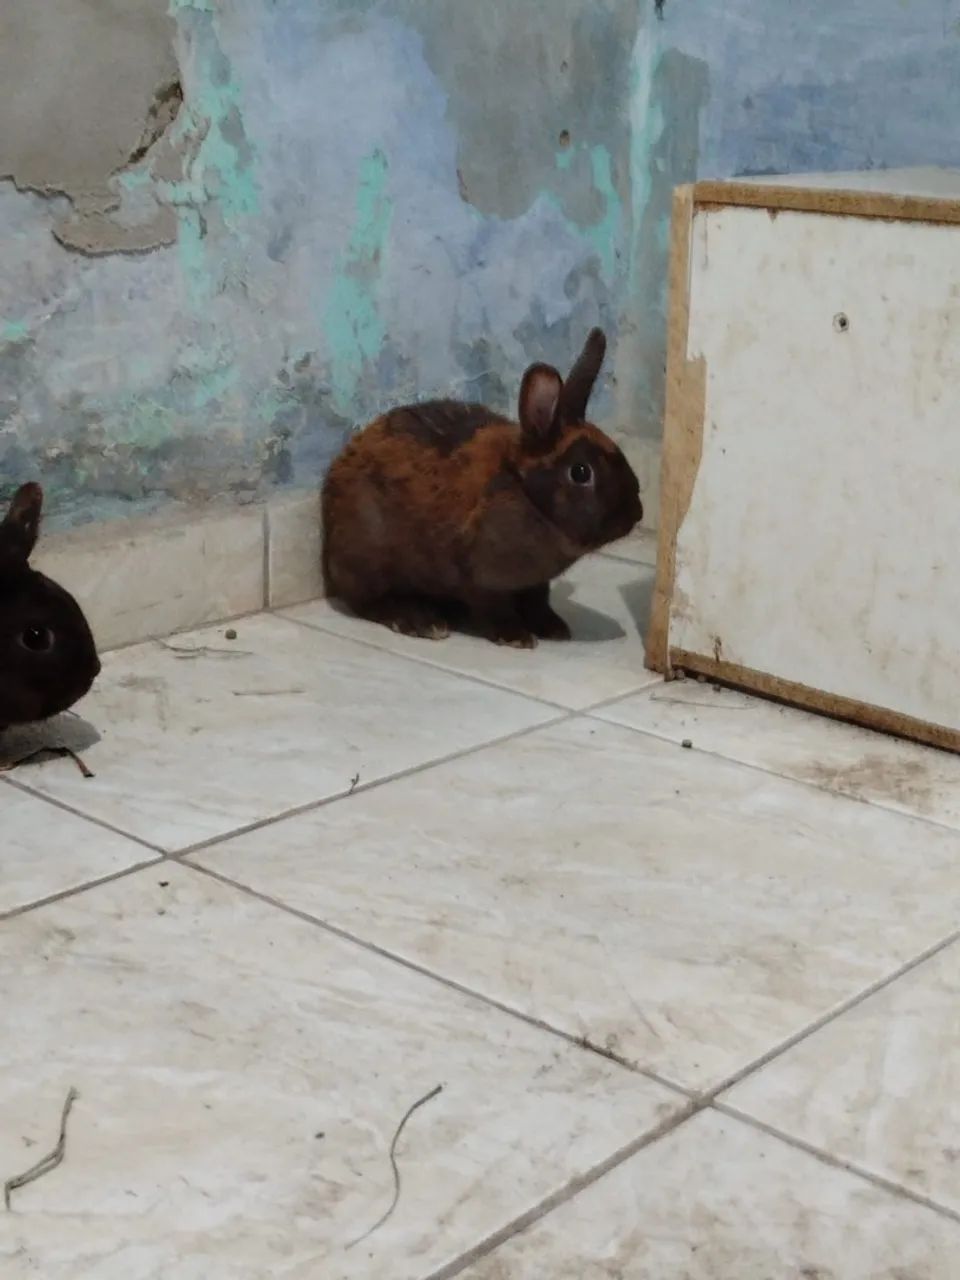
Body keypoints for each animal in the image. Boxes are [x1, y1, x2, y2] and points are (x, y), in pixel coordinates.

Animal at [322, 327, 643, 647]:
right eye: (580, 472)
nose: (636, 514)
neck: (527, 494)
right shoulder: (480, 579)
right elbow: (494, 608)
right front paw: (516, 637)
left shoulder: (535, 583)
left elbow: (537, 602)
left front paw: (553, 628)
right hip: (369, 559)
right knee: (367, 601)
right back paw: (422, 622)